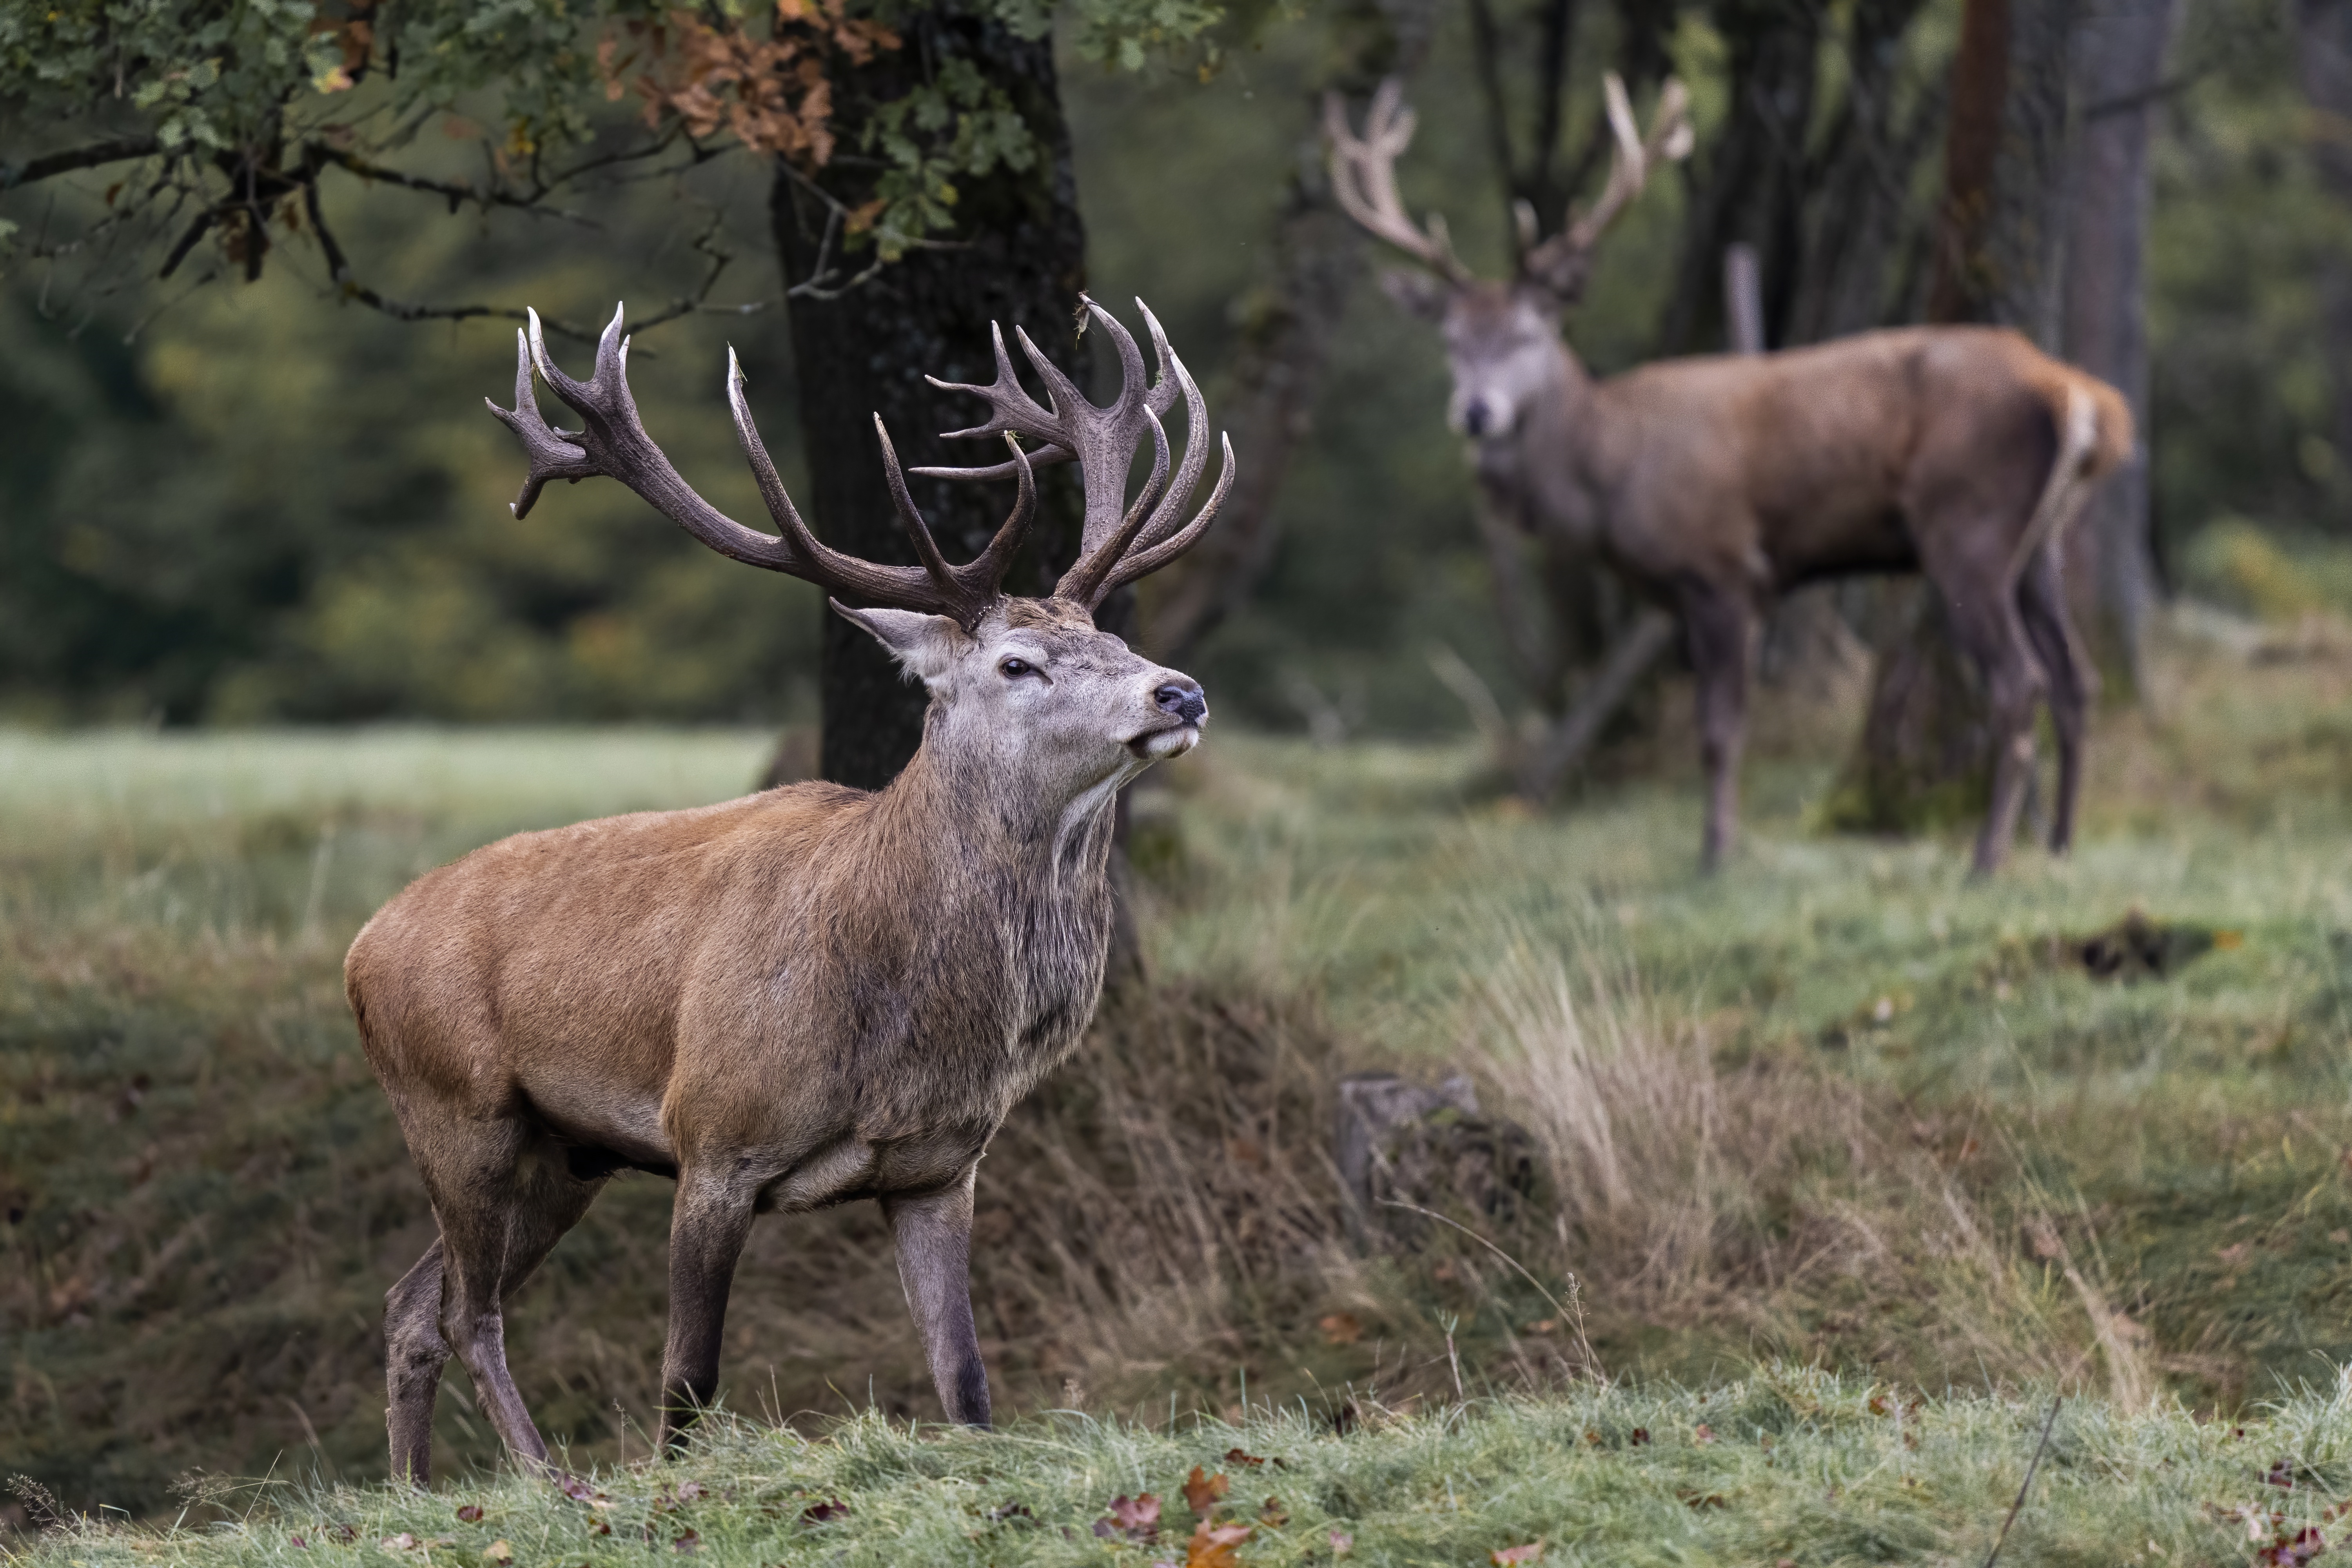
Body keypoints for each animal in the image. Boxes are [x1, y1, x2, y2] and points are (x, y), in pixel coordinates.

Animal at [344, 295, 1231, 1485]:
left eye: (1116, 635)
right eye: (1017, 664)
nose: (1178, 691)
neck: (906, 1030)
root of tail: (360, 947)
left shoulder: (941, 1169)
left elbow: (967, 1384)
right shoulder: (715, 1137)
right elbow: (686, 1380)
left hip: (567, 1153)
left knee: (410, 1304)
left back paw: (413, 1491)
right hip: (457, 1108)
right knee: (465, 1311)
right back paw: (543, 1477)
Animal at [1328, 76, 2133, 874]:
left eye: (1530, 335)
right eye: (1450, 340)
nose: (1476, 411)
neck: (1609, 474)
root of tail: (2077, 394)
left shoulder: (1722, 570)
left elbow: (1718, 731)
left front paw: (1716, 856)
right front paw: (1719, 847)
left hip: (1969, 524)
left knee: (2021, 680)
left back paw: (1987, 860)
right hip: (2043, 539)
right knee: (2078, 680)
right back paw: (2061, 847)